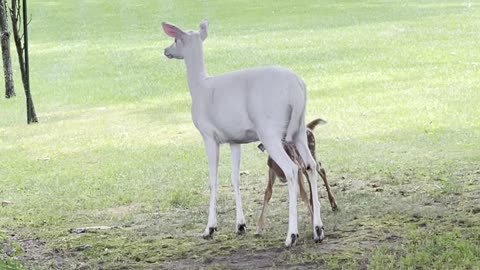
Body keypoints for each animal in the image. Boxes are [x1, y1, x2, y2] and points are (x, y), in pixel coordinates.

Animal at [162, 19, 326, 247]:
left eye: (176, 40)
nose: (166, 50)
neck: (199, 87)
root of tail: (297, 87)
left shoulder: (208, 134)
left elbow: (213, 179)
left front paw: (209, 228)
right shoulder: (234, 140)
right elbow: (235, 177)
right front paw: (240, 225)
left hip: (270, 130)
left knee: (293, 169)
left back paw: (291, 236)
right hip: (300, 129)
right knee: (311, 166)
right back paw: (318, 230)